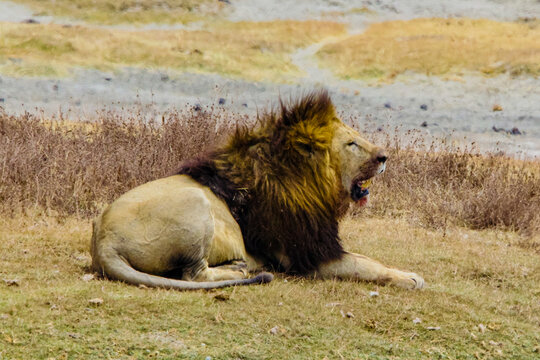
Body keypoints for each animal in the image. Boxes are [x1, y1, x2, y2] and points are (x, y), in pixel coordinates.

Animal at [90, 91, 424, 292]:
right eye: (352, 143)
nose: (385, 157)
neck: (305, 182)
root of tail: (103, 241)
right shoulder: (306, 255)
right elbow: (365, 265)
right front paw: (409, 277)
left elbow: (366, 257)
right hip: (196, 202)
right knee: (193, 274)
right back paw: (241, 270)